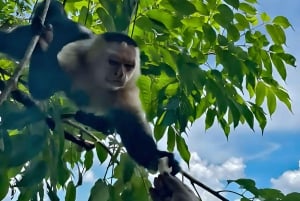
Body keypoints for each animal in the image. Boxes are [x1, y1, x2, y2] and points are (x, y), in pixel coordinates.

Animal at [57, 32, 180, 174]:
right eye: (113, 62)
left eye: (128, 65)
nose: (121, 74)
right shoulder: (70, 61)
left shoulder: (126, 89)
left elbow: (132, 129)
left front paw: (156, 157)